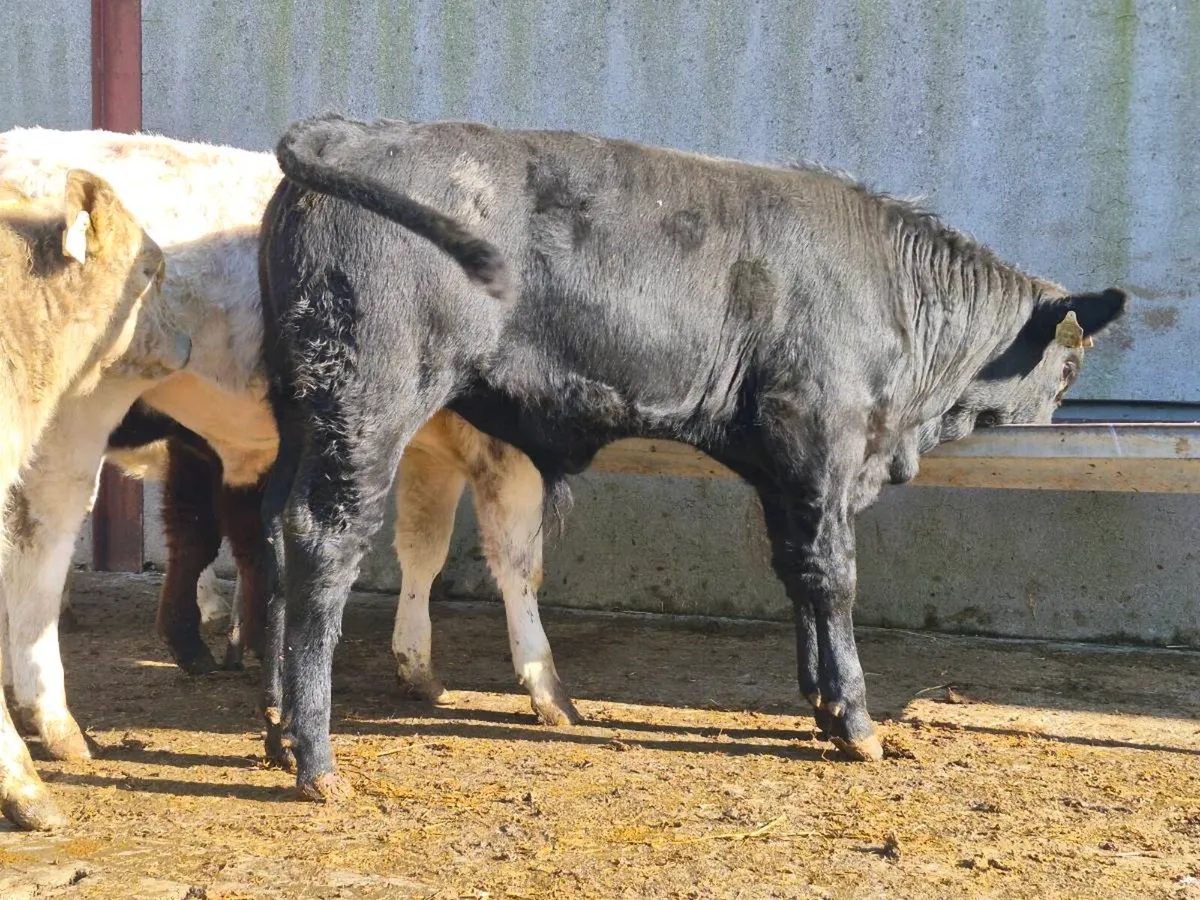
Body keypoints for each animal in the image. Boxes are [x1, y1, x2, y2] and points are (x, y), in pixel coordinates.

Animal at [257, 113, 1127, 801]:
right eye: (1069, 368)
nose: (1054, 421)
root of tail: (353, 132)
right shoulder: (822, 440)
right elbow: (834, 578)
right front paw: (856, 721)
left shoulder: (783, 468)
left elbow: (796, 571)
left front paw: (819, 704)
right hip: (368, 401)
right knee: (325, 541)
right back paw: (317, 759)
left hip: (297, 404)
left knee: (273, 528)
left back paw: (277, 730)